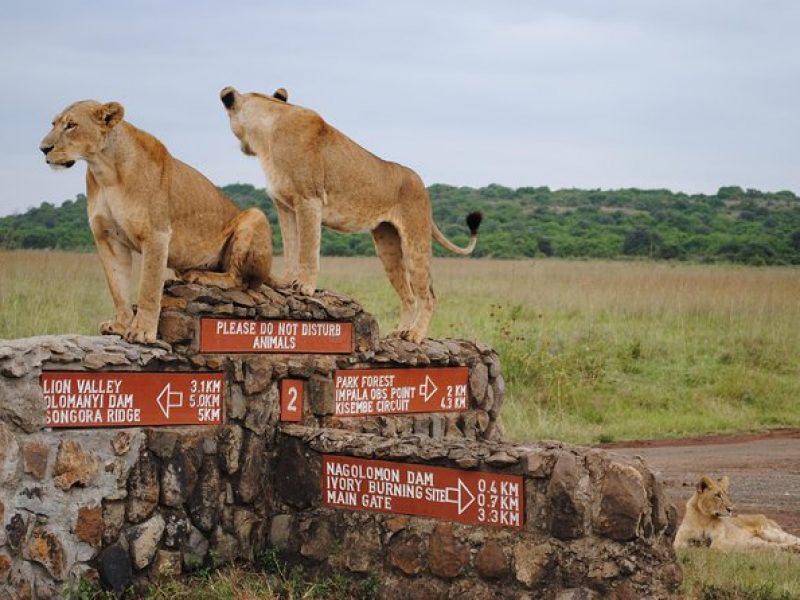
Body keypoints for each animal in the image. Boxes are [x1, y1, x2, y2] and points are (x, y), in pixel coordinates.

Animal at [217, 86, 482, 344]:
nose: (243, 148)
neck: (266, 134)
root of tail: (422, 185)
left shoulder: (309, 200)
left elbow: (308, 249)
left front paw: (305, 287)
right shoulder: (284, 205)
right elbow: (291, 246)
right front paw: (285, 282)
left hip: (415, 239)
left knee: (428, 295)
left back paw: (415, 335)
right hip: (387, 245)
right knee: (408, 295)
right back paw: (398, 332)